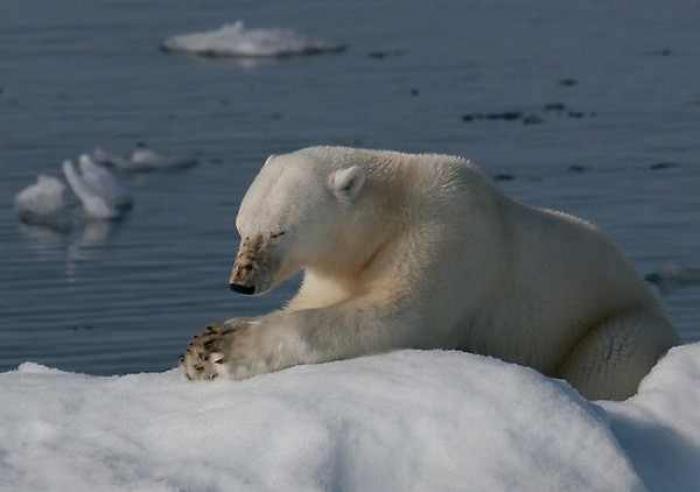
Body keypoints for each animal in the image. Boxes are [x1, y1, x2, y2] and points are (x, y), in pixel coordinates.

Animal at [180, 146, 680, 400]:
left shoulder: (443, 236)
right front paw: (199, 347)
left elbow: (396, 316)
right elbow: (314, 299)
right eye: (241, 227)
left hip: (615, 324)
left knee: (608, 361)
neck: (394, 205)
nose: (241, 282)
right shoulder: (342, 267)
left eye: (279, 230)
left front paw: (227, 350)